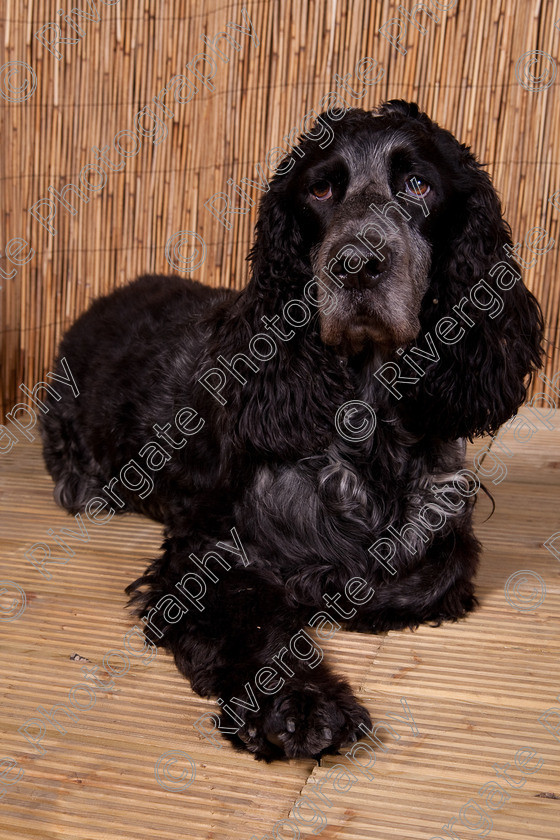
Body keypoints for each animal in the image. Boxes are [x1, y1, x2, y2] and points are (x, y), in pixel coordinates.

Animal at [42, 101, 544, 756]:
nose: (357, 264)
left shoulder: (439, 519)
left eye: (418, 185)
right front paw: (301, 705)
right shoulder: (209, 552)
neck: (364, 416)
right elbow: (254, 620)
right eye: (320, 189)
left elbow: (421, 575)